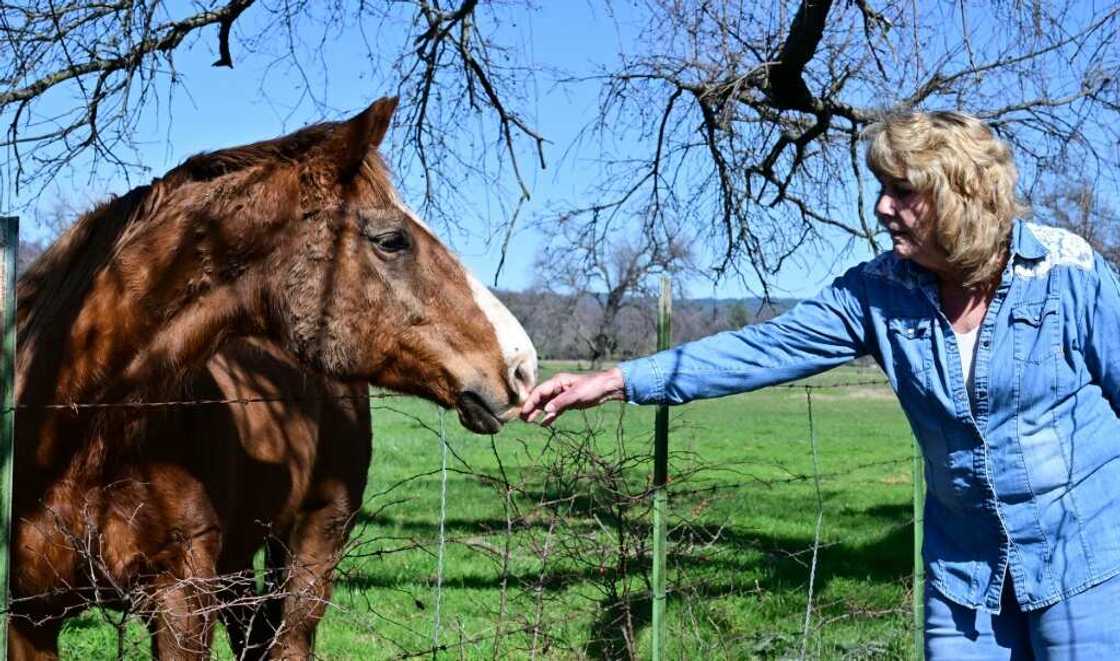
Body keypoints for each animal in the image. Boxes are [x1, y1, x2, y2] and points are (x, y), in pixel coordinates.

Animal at [12, 95, 537, 658]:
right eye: (391, 241)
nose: (522, 366)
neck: (77, 440)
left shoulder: (181, 605)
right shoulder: (30, 616)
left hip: (315, 544)